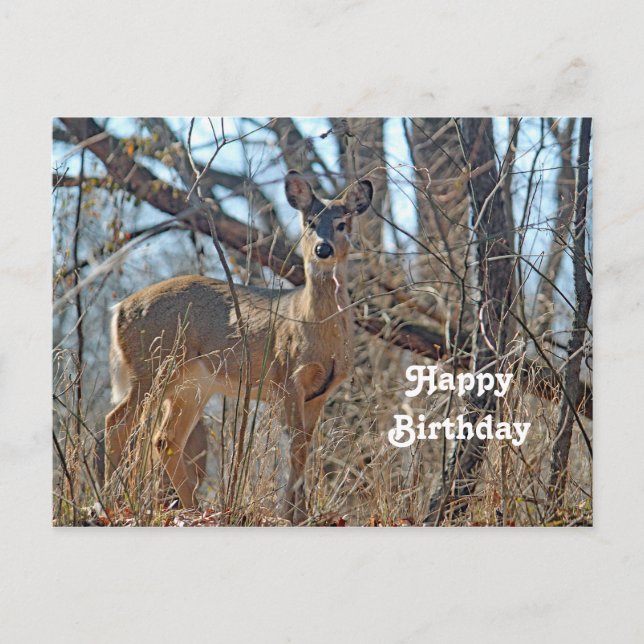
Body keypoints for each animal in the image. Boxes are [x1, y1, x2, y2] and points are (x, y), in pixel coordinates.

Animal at [104, 170, 373, 524]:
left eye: (342, 223)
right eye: (310, 221)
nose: (323, 249)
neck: (312, 324)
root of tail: (120, 308)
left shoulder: (320, 393)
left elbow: (304, 449)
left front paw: (300, 514)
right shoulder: (287, 378)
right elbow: (295, 448)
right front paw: (290, 516)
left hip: (192, 385)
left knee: (165, 439)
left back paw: (194, 509)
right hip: (152, 366)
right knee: (117, 423)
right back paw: (112, 501)